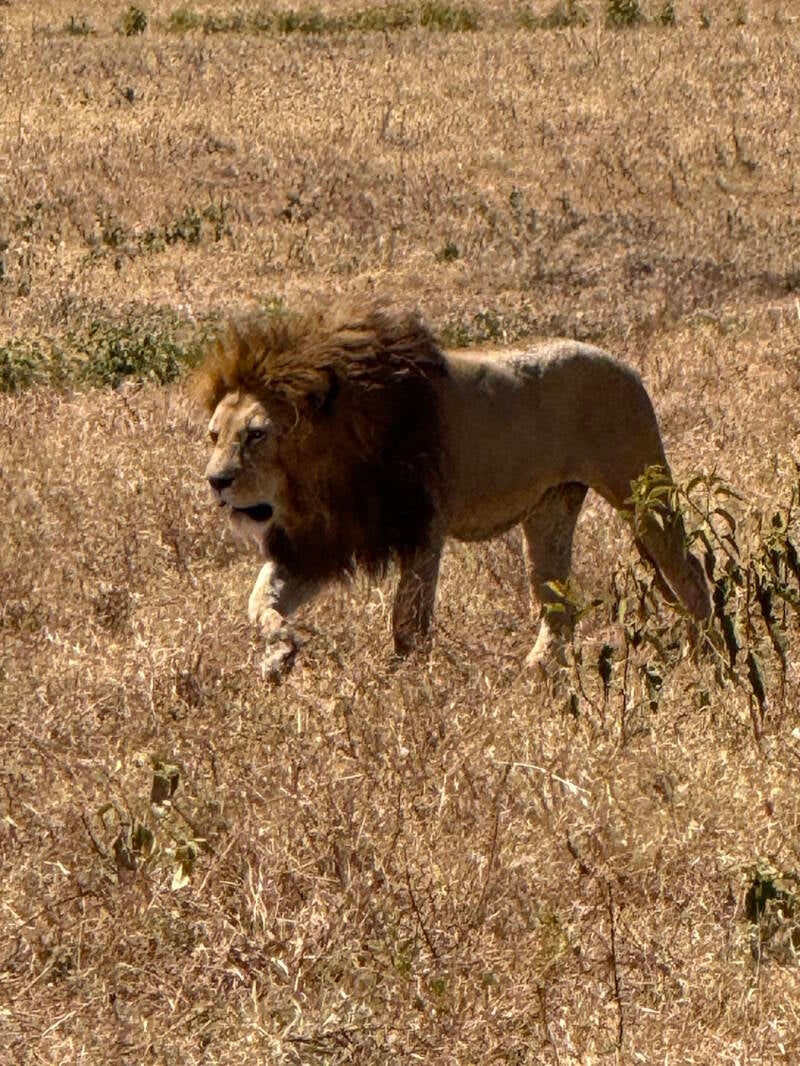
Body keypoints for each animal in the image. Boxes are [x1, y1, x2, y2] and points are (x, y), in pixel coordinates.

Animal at [192, 297, 711, 676]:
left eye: (256, 435)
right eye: (214, 436)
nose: (217, 481)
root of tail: (624, 363)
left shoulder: (423, 527)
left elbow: (408, 620)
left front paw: (406, 681)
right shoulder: (323, 541)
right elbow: (259, 600)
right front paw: (278, 656)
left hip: (639, 490)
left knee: (687, 568)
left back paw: (701, 655)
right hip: (551, 508)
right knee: (558, 601)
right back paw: (536, 674)